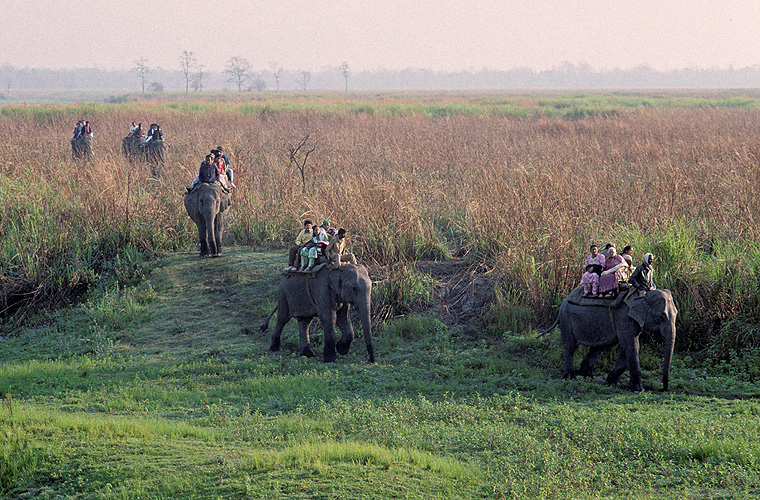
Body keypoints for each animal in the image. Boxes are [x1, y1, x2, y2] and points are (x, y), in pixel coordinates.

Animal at [540, 288, 676, 392]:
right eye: (660, 317)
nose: (662, 389)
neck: (643, 295)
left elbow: (625, 347)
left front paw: (613, 381)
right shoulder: (624, 317)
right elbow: (631, 345)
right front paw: (639, 390)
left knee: (599, 347)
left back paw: (587, 374)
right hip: (566, 319)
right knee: (570, 347)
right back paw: (570, 377)